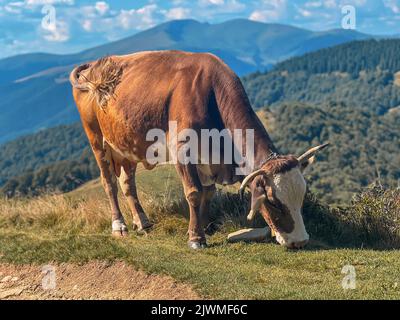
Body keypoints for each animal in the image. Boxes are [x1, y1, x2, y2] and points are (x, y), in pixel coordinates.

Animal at [70, 50, 326, 250]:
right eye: (272, 201)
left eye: (302, 196)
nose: (300, 241)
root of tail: (93, 65)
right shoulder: (182, 150)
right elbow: (193, 192)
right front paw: (196, 238)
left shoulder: (211, 159)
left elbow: (208, 192)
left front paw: (203, 227)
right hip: (96, 139)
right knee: (109, 183)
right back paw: (119, 225)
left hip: (126, 145)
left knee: (127, 182)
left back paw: (142, 222)